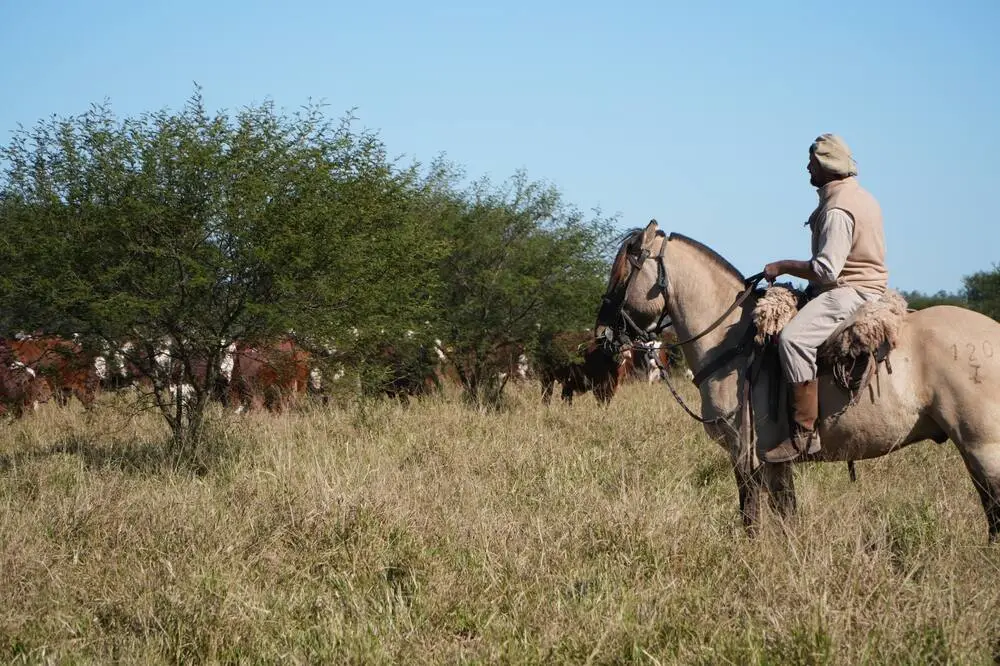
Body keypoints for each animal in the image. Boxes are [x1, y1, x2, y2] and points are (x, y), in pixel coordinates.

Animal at [595, 219, 1000, 541]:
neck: (734, 341)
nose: (603, 334)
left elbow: (751, 515)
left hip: (982, 446)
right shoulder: (775, 462)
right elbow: (786, 513)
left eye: (623, 273)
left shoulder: (745, 455)